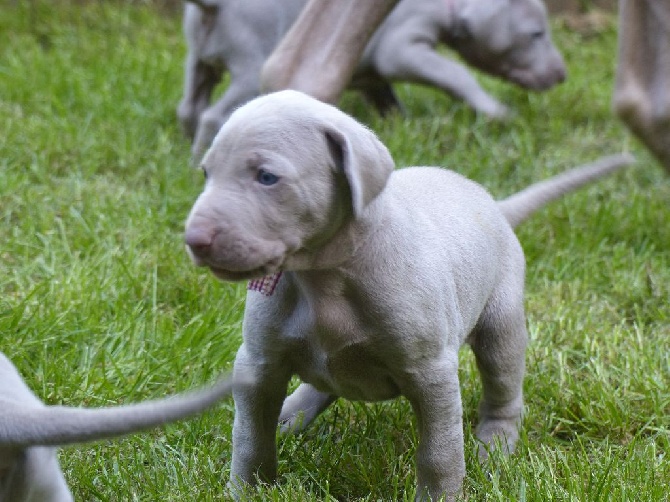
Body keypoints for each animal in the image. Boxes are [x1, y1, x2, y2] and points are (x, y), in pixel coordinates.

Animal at [178, 0, 568, 161]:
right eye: (537, 34)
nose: (562, 73)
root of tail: (213, 6)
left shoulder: (370, 75)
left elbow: (385, 96)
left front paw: (396, 125)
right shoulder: (400, 45)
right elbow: (453, 71)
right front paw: (496, 111)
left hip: (199, 58)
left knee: (190, 106)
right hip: (250, 64)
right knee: (217, 114)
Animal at [185, 91, 636, 502]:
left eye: (266, 177)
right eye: (205, 173)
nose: (194, 240)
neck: (325, 280)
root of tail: (494, 205)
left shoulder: (431, 371)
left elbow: (439, 453)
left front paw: (441, 495)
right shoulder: (258, 365)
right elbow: (250, 438)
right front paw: (247, 490)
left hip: (502, 322)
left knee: (504, 387)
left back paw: (494, 445)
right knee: (323, 380)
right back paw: (291, 415)